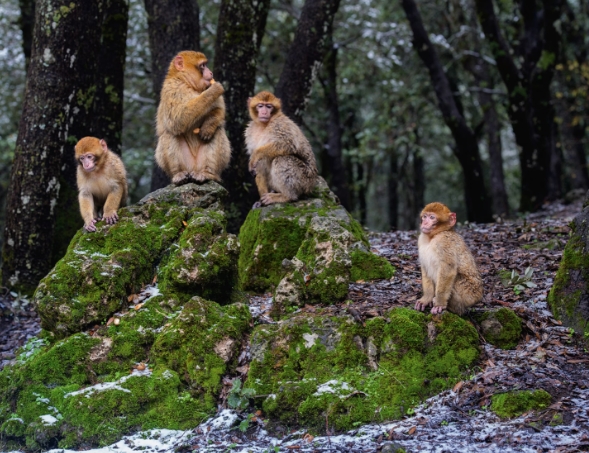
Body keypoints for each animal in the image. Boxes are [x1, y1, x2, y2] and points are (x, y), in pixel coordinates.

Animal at [154, 49, 230, 184]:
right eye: (202, 66)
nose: (211, 73)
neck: (186, 83)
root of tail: (194, 168)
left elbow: (219, 111)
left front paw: (208, 126)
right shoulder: (170, 89)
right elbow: (177, 120)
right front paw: (213, 91)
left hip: (201, 164)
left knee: (217, 130)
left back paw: (207, 173)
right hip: (187, 164)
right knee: (169, 133)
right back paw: (179, 174)